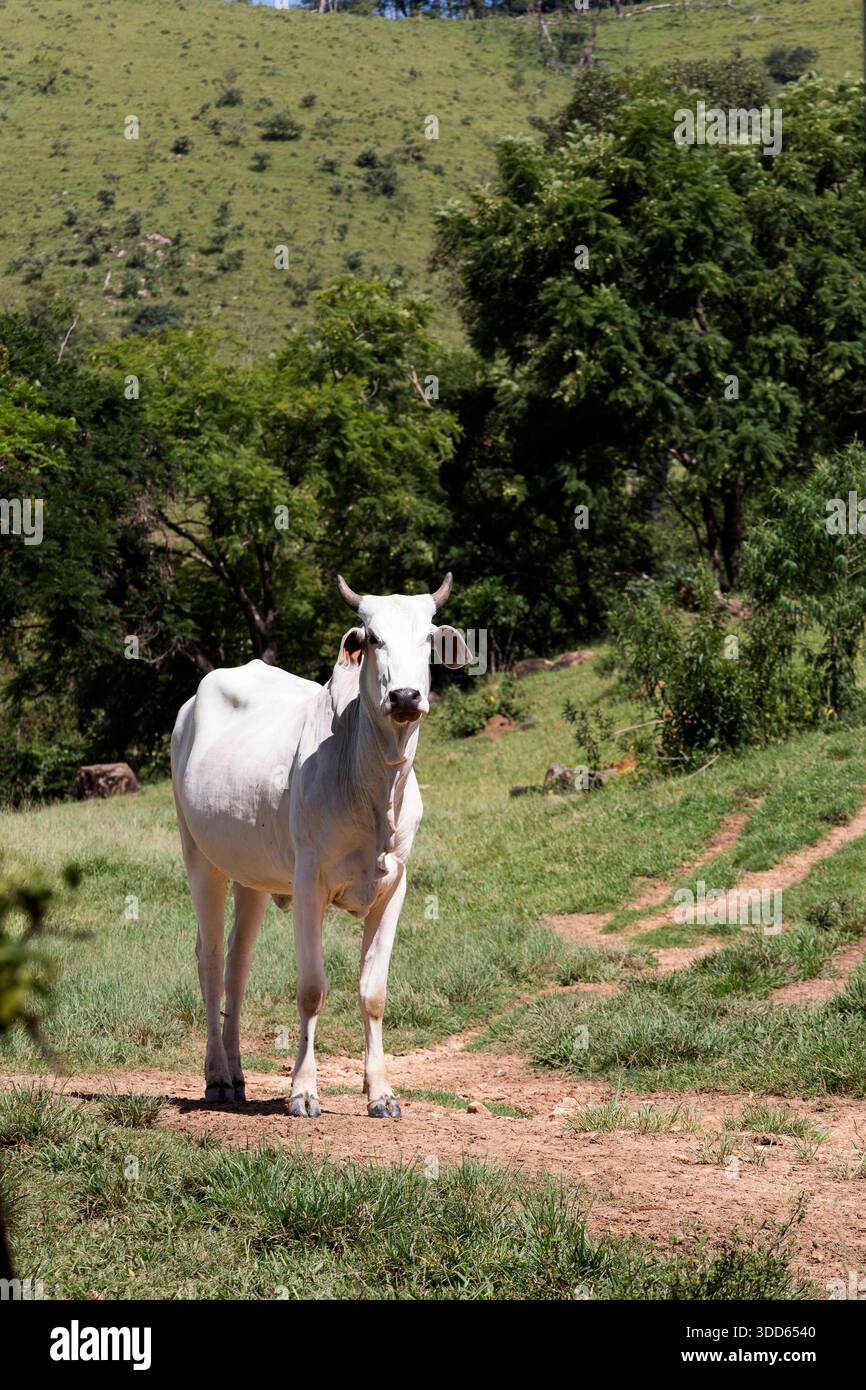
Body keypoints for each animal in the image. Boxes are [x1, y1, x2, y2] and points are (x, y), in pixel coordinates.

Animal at [170, 574, 471, 1118]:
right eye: (373, 638)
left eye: (427, 639)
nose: (405, 695)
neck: (373, 786)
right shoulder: (309, 882)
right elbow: (311, 989)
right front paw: (304, 1091)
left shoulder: (395, 885)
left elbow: (373, 992)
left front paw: (381, 1094)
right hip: (200, 856)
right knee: (210, 961)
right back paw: (218, 1077)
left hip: (252, 875)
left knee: (237, 963)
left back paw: (237, 1075)